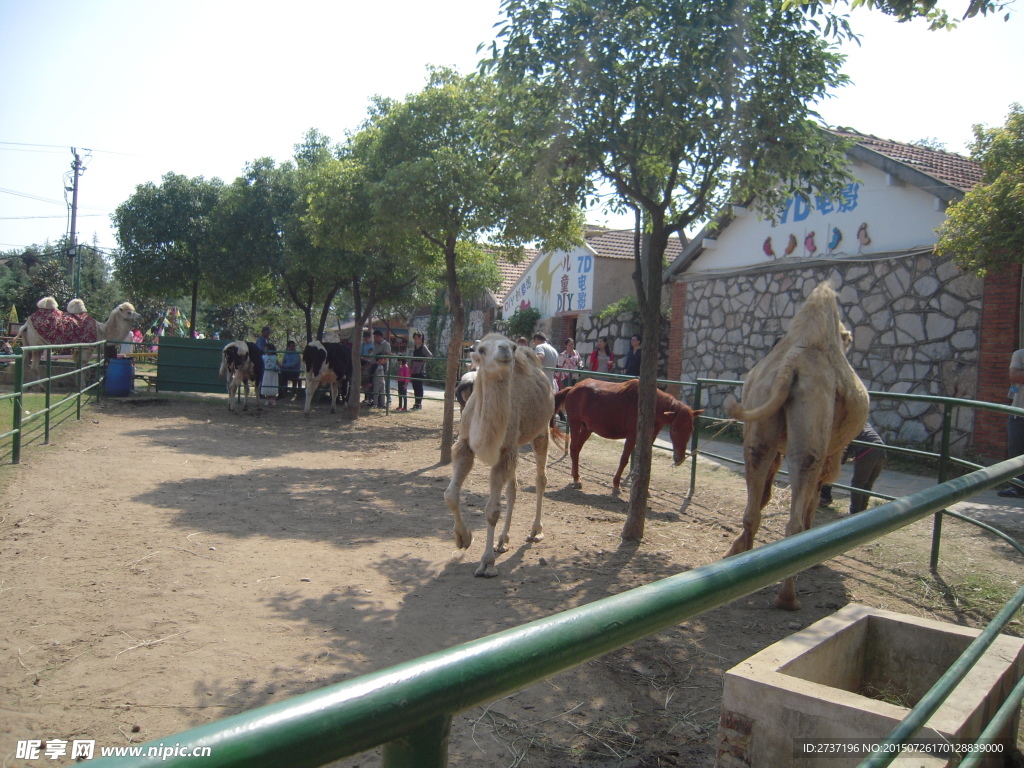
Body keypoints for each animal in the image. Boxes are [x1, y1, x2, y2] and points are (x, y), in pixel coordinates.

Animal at [446, 331, 561, 577]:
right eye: (480, 349)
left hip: (540, 432)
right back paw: (502, 540)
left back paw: (535, 531)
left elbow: (492, 510)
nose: (505, 350)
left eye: (513, 345)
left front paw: (487, 563)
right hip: (515, 447)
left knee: (540, 480)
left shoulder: (505, 451)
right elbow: (450, 495)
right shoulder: (465, 446)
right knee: (513, 489)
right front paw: (463, 538)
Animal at [552, 378, 704, 493]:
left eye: (691, 429)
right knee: (573, 449)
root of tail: (573, 388)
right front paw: (616, 485)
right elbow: (624, 460)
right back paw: (576, 479)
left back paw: (576, 476)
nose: (679, 459)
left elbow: (641, 462)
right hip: (575, 425)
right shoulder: (632, 437)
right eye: (675, 429)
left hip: (586, 428)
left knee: (577, 450)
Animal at [724, 282, 868, 614]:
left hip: (761, 417)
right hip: (812, 426)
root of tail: (791, 366)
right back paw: (788, 598)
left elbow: (765, 493)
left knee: (753, 495)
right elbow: (814, 497)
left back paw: (742, 563)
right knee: (797, 514)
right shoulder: (829, 454)